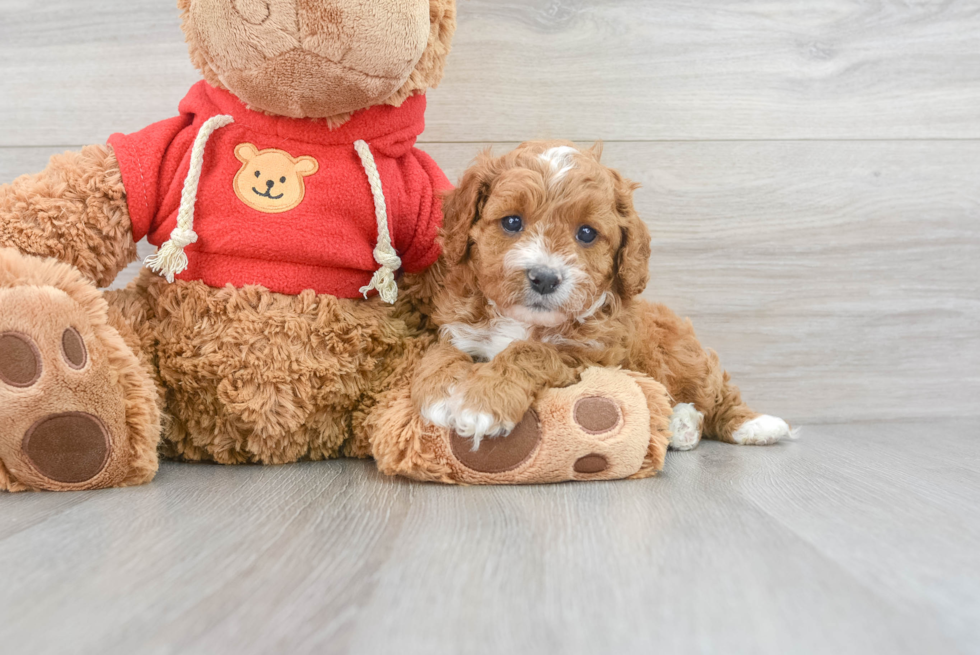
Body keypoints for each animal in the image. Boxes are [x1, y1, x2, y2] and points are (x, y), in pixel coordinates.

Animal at [410, 142, 792, 454]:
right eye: (512, 222)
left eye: (587, 233)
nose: (545, 278)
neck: (523, 321)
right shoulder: (461, 329)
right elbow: (441, 352)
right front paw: (443, 390)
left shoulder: (591, 356)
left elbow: (530, 352)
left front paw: (482, 401)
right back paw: (681, 424)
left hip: (684, 353)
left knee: (716, 392)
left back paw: (754, 425)